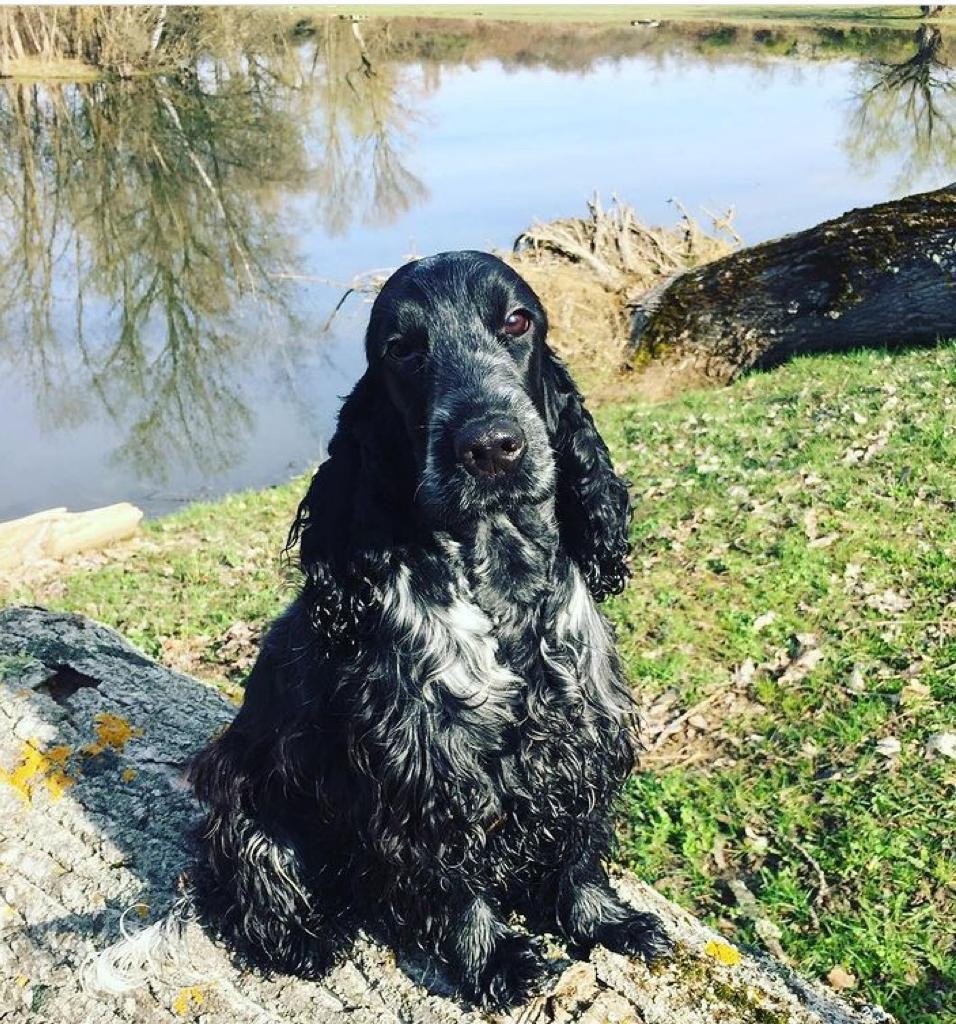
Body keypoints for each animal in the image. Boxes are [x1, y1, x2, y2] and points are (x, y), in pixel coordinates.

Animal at [189, 250, 672, 1009]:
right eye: (401, 349)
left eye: (517, 320)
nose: (492, 447)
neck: (502, 584)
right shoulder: (424, 773)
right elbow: (452, 883)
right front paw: (495, 959)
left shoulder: (580, 746)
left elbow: (578, 853)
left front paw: (606, 922)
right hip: (242, 795)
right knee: (254, 885)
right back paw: (305, 937)